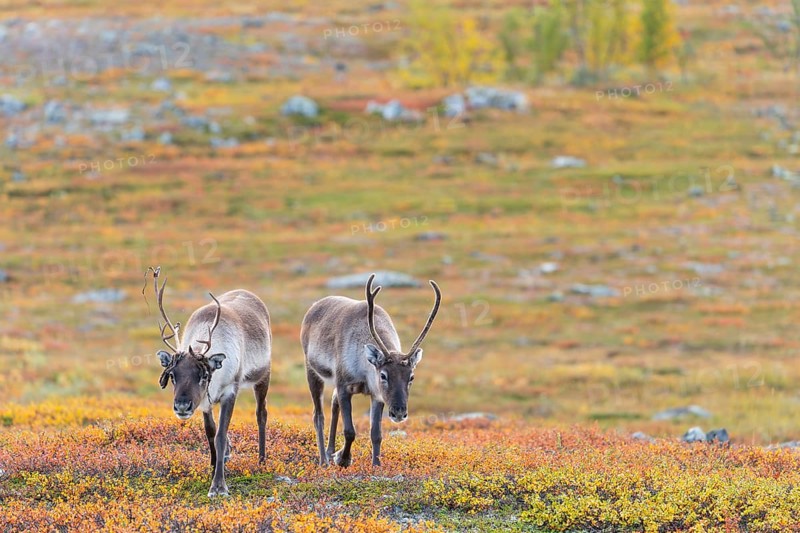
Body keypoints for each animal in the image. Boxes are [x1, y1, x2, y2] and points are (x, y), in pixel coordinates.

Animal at [145, 267, 272, 497]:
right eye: (173, 375)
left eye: (203, 375)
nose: (182, 406)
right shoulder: (205, 403)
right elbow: (210, 433)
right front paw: (214, 467)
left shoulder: (230, 391)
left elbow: (220, 435)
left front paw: (219, 485)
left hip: (263, 375)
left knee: (261, 414)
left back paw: (262, 459)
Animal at [301, 273, 441, 467]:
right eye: (383, 375)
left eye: (411, 377)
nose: (399, 412)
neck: (365, 371)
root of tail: (314, 306)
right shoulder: (344, 386)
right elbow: (349, 431)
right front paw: (343, 458)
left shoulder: (377, 395)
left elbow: (376, 434)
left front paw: (376, 465)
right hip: (312, 371)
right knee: (318, 415)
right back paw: (324, 460)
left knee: (333, 402)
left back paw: (329, 452)